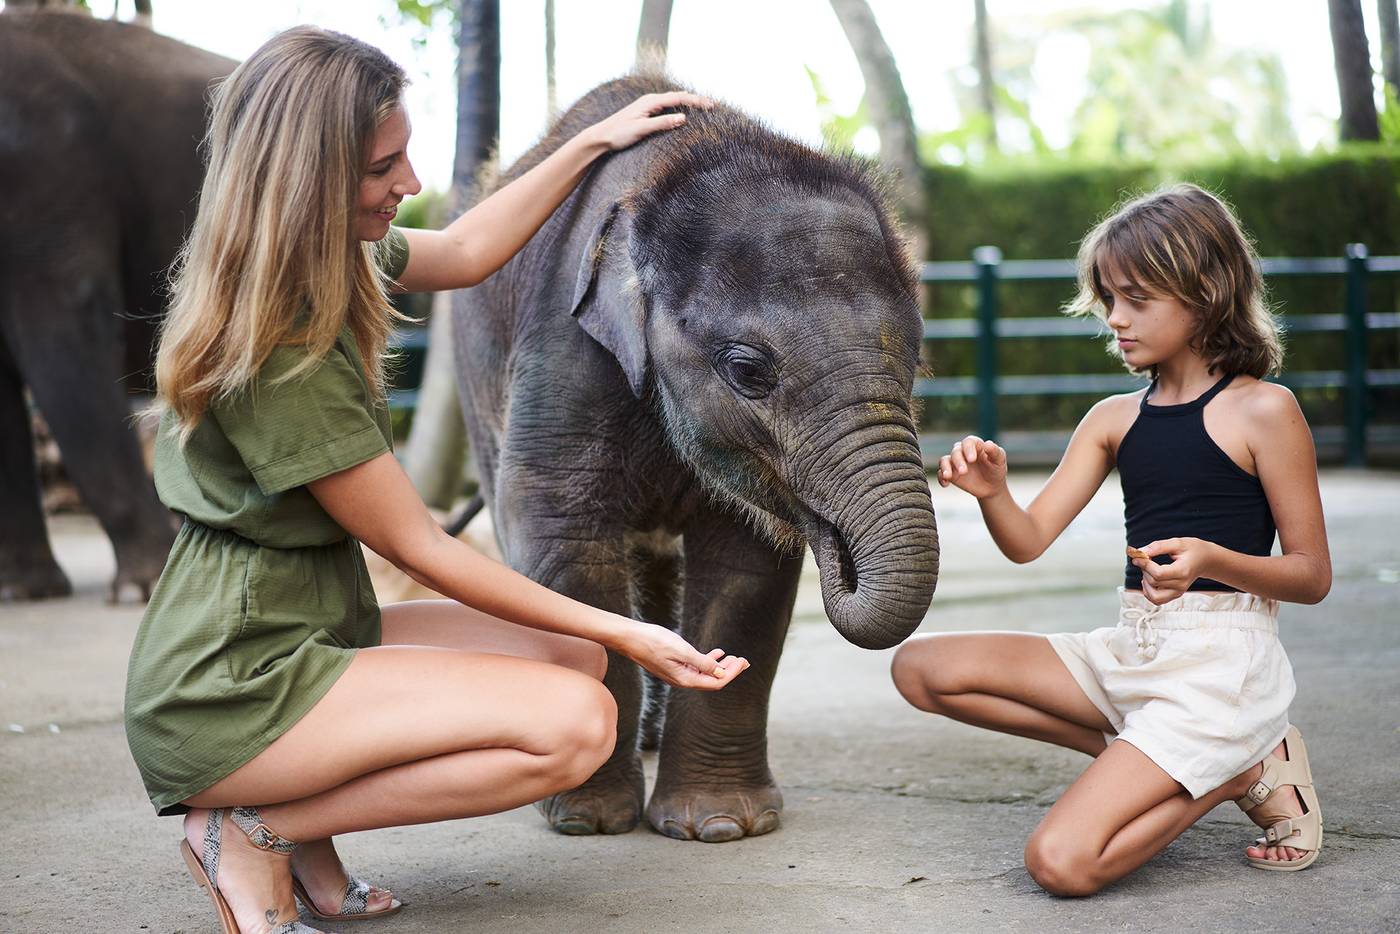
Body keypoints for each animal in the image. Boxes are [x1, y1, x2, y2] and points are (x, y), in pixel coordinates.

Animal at [454, 74, 940, 843]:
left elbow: (747, 565)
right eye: (747, 370)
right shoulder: (565, 345)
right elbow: (558, 531)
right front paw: (590, 821)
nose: (835, 540)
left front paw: (720, 826)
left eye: (916, 360)